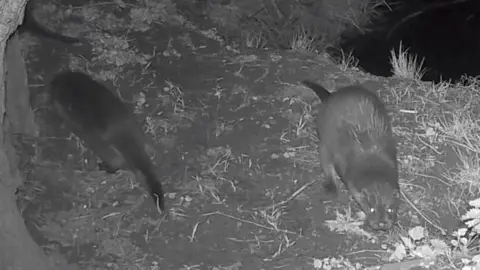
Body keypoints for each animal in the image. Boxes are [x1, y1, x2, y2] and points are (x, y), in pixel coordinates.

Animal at [49, 70, 165, 210]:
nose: (52, 82)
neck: (75, 88)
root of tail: (121, 130)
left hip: (98, 142)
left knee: (115, 161)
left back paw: (105, 166)